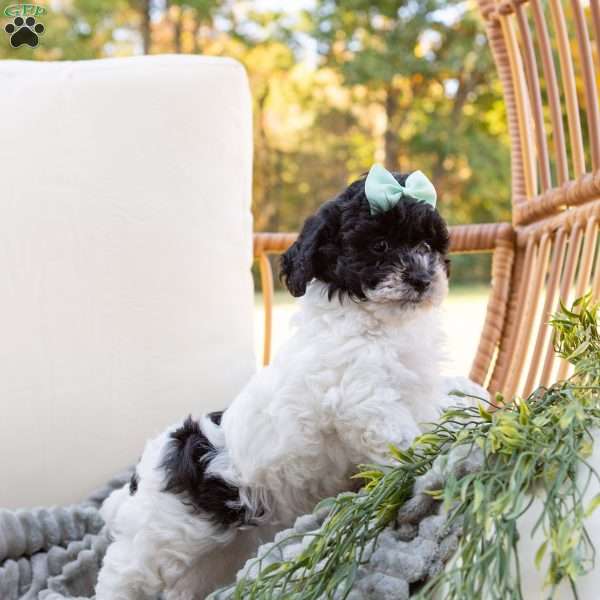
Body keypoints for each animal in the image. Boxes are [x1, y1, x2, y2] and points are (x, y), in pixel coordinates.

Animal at [96, 169, 486, 600]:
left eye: (426, 245)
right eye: (380, 245)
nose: (421, 278)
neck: (381, 324)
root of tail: (147, 469)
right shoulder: (363, 397)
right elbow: (400, 435)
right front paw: (431, 453)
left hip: (214, 554)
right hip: (157, 539)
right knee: (122, 573)